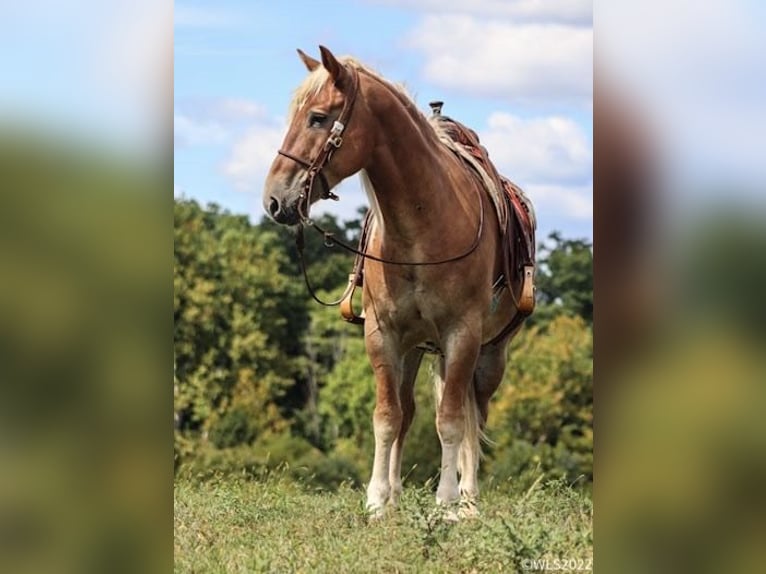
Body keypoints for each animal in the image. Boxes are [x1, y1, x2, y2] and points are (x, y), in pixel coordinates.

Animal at [262, 47, 536, 520]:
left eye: (317, 118)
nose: (274, 199)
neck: (422, 225)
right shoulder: (383, 334)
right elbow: (387, 416)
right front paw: (377, 500)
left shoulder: (462, 335)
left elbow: (451, 420)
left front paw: (447, 502)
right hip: (413, 349)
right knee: (408, 412)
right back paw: (397, 492)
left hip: (490, 355)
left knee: (474, 416)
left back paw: (469, 500)